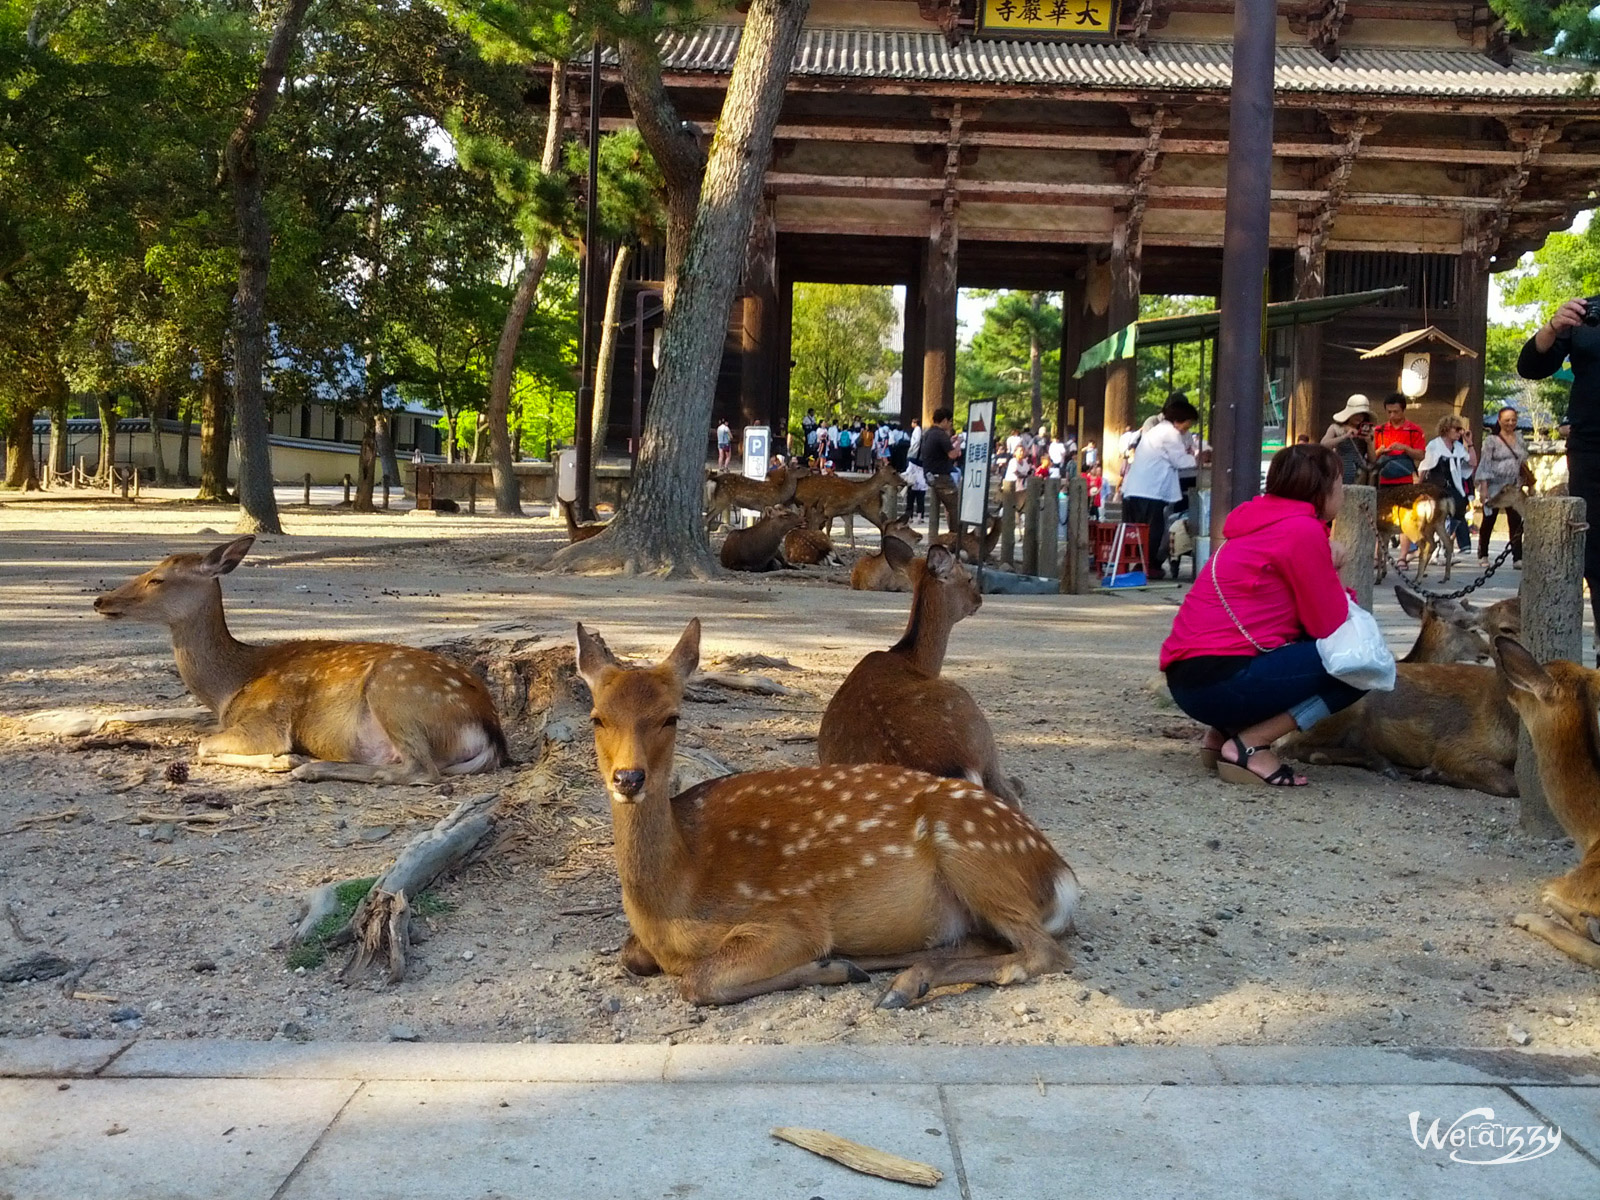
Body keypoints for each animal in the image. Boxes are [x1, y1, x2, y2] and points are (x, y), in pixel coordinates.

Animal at [93, 537, 505, 784]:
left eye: (157, 579)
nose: (100, 600)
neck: (229, 688)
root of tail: (489, 730)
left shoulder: (267, 721)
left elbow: (203, 746)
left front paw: (283, 760)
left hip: (395, 692)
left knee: (421, 769)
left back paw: (309, 766)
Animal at [576, 620, 1075, 1004]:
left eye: (671, 717)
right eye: (597, 717)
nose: (629, 778)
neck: (674, 895)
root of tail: (1061, 877)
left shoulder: (790, 919)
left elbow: (699, 980)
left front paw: (828, 967)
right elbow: (632, 956)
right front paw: (838, 965)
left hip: (972, 851)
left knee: (1044, 952)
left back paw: (897, 984)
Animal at [1273, 588, 1523, 793]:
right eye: (1504, 628)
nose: (1486, 651)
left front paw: (1430, 773)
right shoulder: (1455, 747)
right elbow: (1509, 785)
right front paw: (1432, 773)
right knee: (1296, 749)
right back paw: (1385, 764)